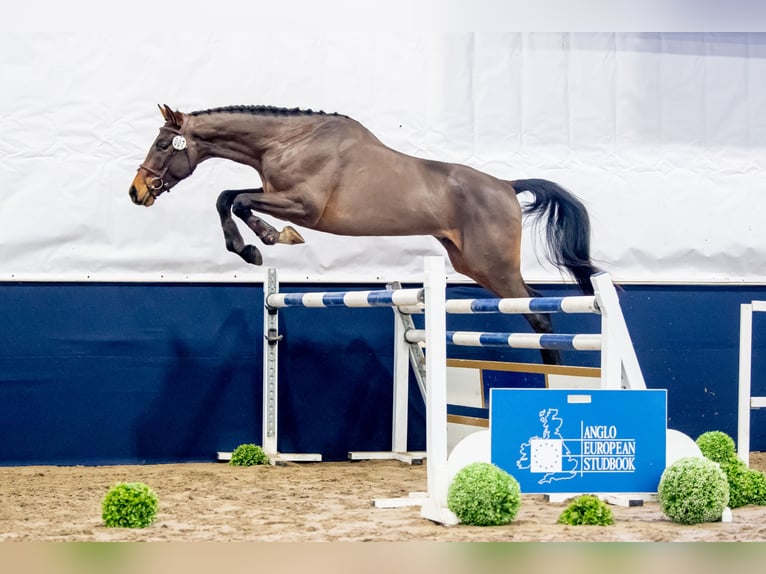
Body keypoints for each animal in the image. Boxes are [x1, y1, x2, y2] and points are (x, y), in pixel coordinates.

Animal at [129, 104, 601, 364]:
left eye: (162, 145)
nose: (136, 192)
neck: (286, 142)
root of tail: (506, 185)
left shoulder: (304, 206)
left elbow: (241, 202)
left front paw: (269, 242)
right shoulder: (276, 194)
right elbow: (227, 197)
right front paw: (250, 247)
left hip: (494, 266)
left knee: (538, 314)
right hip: (470, 263)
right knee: (534, 308)